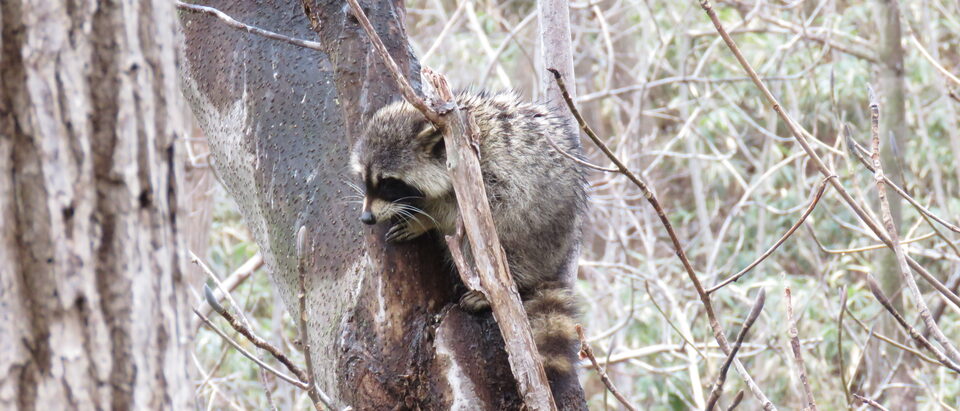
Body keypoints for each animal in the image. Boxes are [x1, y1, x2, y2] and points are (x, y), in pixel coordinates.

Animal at [349, 90, 588, 396]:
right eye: (364, 179)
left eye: (389, 182)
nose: (367, 218)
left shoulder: (488, 172)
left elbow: (465, 210)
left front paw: (425, 219)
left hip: (533, 227)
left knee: (497, 234)